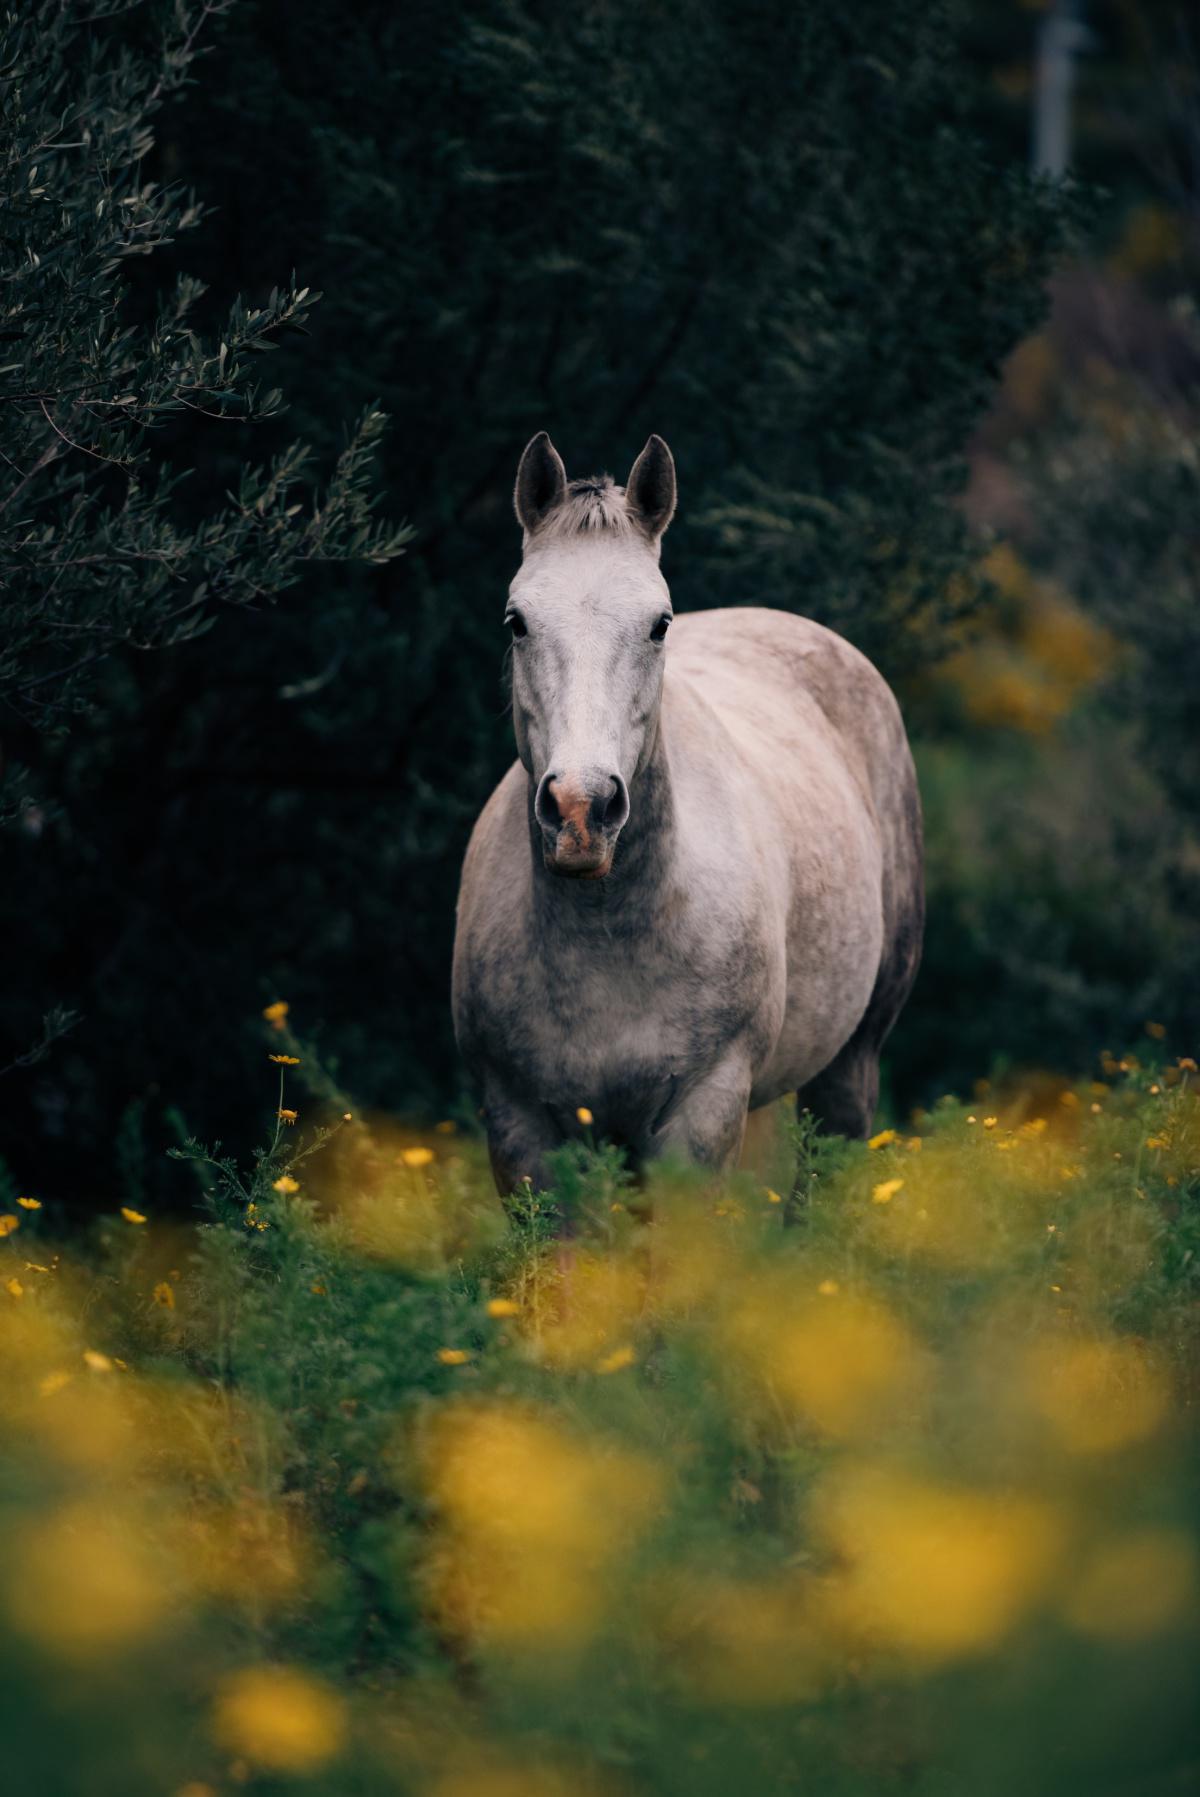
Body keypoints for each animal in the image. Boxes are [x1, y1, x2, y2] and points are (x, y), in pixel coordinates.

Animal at [454, 433, 926, 1193]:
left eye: (659, 624)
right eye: (516, 621)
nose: (581, 809)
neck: (609, 937)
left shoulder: (702, 1115)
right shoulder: (521, 1126)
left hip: (850, 1067)